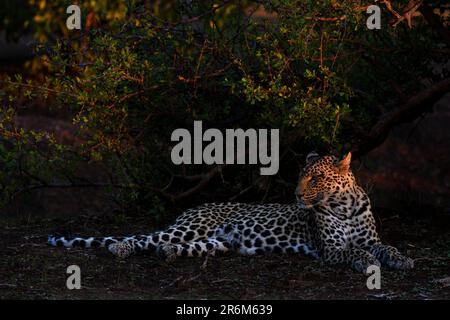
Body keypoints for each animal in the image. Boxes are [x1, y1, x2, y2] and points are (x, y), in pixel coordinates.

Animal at [49, 152, 414, 272]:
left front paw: (402, 260)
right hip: (190, 227)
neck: (345, 206)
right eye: (301, 176)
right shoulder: (331, 250)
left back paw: (168, 253)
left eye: (316, 178)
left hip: (217, 242)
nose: (296, 193)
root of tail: (198, 206)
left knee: (170, 244)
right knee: (142, 237)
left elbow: (385, 246)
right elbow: (355, 251)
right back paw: (121, 248)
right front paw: (368, 263)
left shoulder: (370, 237)